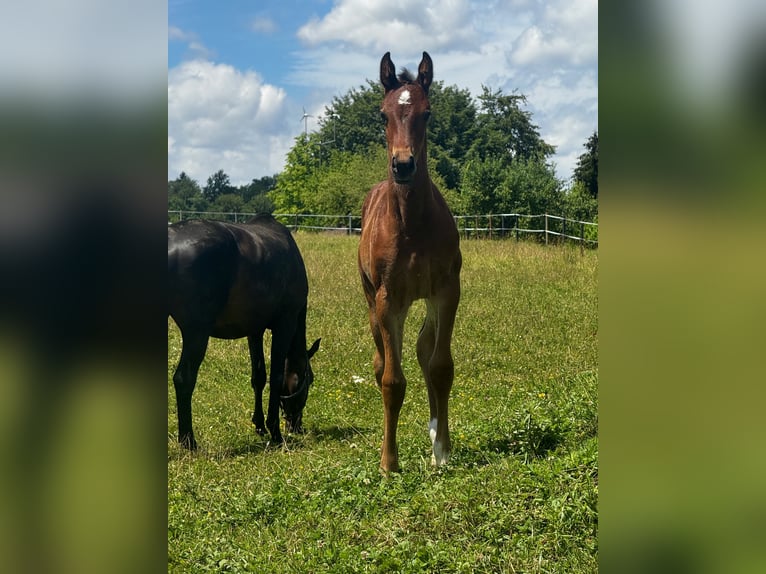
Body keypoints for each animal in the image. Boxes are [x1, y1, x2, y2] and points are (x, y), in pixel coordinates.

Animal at [168, 215, 320, 450]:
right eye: (310, 380)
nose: (297, 426)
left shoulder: (254, 330)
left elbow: (258, 376)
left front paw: (260, 426)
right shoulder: (284, 325)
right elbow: (275, 376)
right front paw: (275, 432)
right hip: (197, 334)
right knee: (184, 379)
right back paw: (189, 441)